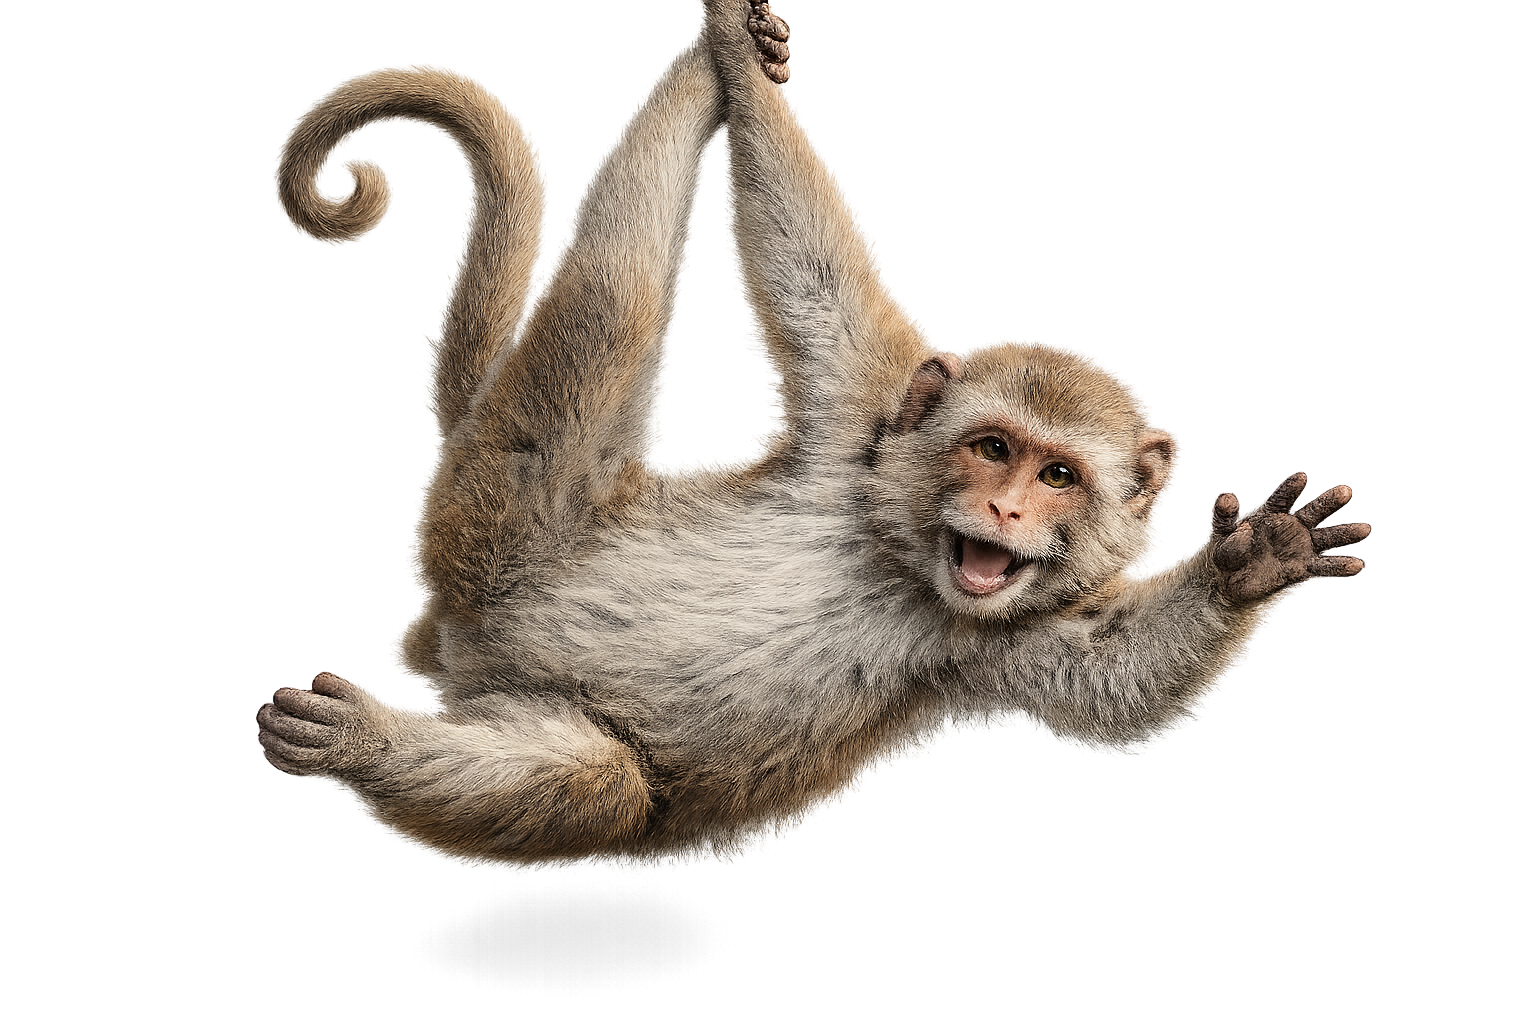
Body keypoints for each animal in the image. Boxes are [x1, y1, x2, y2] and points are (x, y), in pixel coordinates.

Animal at [257, 0, 1369, 858]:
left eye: (1060, 477)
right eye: (994, 448)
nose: (1006, 508)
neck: (901, 561)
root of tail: (461, 639)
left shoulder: (985, 641)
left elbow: (1106, 672)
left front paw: (1255, 561)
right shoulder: (862, 418)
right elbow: (811, 269)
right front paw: (737, 67)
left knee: (599, 778)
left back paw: (373, 747)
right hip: (511, 518)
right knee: (608, 308)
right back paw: (697, 91)